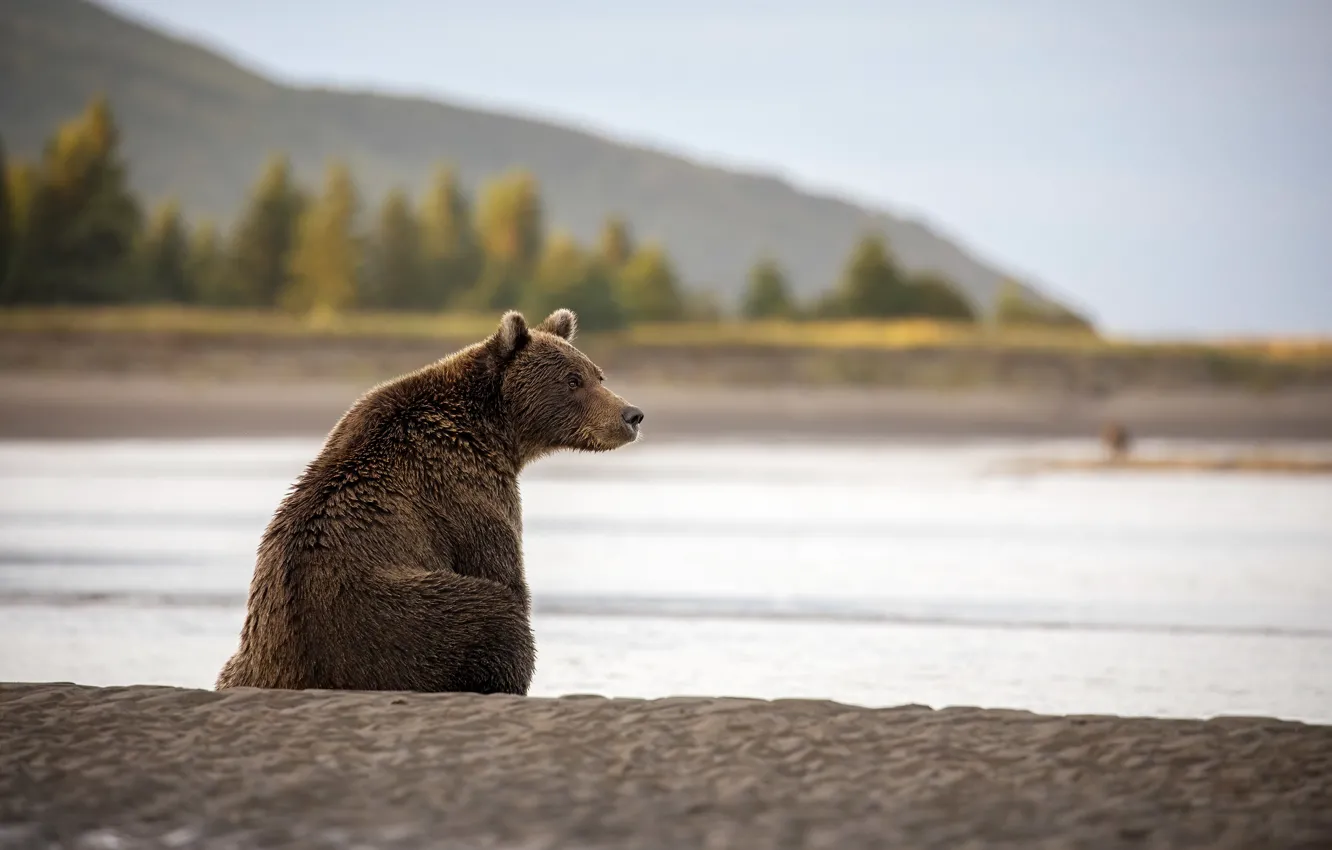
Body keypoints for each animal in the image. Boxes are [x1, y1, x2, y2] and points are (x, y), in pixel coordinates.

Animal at [215, 308, 643, 695]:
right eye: (573, 380)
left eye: (598, 375)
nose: (632, 415)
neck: (494, 429)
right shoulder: (464, 490)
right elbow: (501, 571)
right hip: (393, 618)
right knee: (494, 617)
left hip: (251, 655)